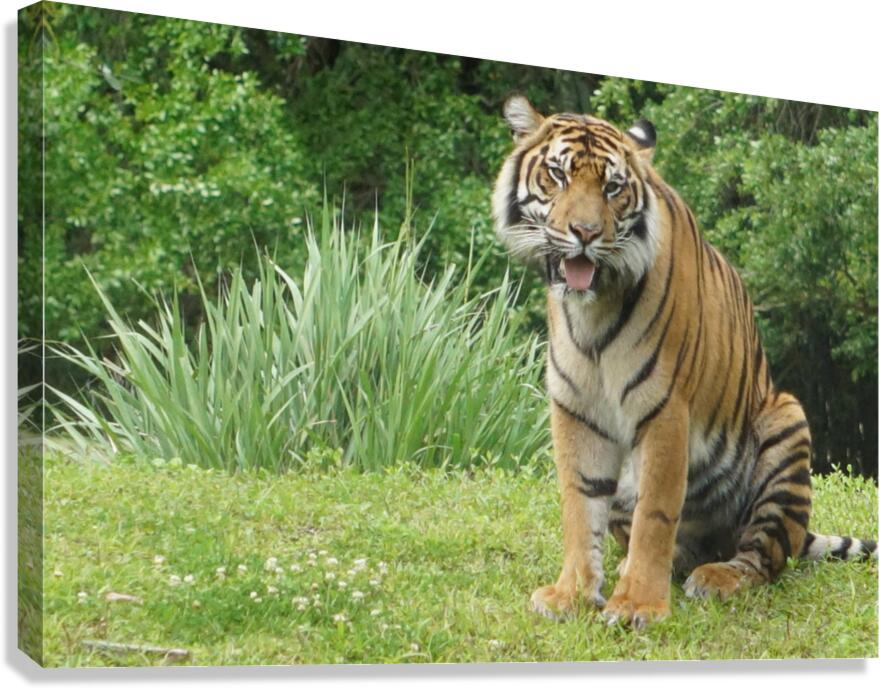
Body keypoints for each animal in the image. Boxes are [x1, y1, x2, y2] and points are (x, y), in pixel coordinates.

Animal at [491, 95, 877, 629]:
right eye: (558, 174)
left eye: (612, 187)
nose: (585, 233)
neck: (592, 307)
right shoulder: (576, 408)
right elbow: (579, 503)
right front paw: (572, 594)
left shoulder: (664, 407)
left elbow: (656, 511)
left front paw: (637, 605)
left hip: (786, 424)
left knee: (764, 556)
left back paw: (716, 577)